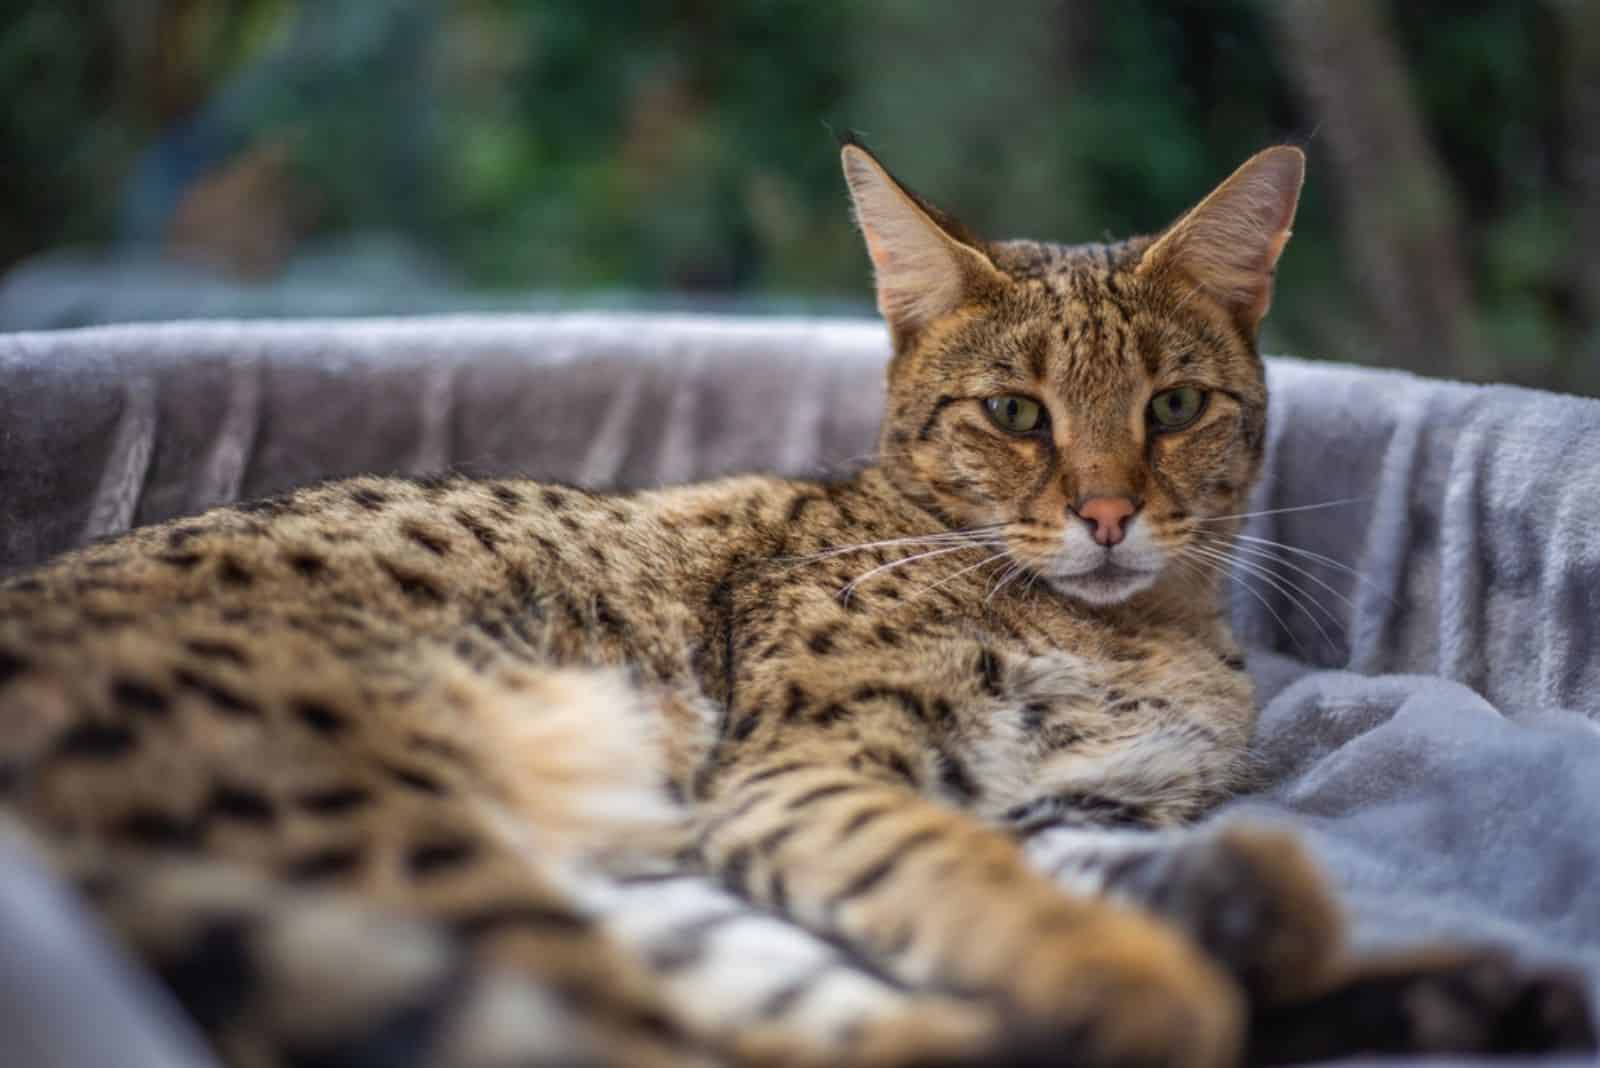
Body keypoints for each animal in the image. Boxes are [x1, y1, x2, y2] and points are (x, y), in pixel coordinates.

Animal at [0, 141, 1587, 1068]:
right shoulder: (810, 771)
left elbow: (1078, 877)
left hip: (616, 876)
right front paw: (1163, 986)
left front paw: (1258, 925)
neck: (1122, 632)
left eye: (1177, 406)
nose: (1107, 512)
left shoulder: (1078, 805)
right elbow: (977, 885)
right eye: (1016, 413)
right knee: (646, 1043)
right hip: (398, 826)